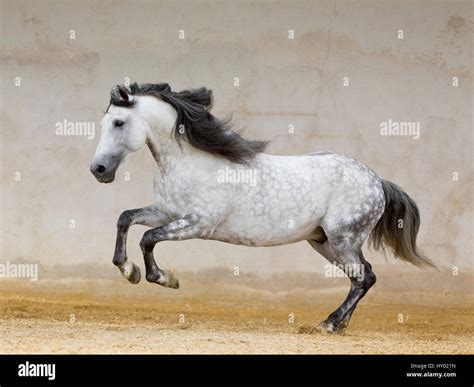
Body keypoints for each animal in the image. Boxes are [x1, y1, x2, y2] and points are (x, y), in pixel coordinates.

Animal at [89, 82, 434, 334]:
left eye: (118, 122)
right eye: (104, 121)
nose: (99, 170)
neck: (189, 162)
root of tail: (376, 180)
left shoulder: (197, 223)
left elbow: (148, 238)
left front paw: (164, 278)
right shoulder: (165, 212)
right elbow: (125, 219)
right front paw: (128, 269)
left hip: (342, 240)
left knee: (364, 277)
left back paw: (329, 323)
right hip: (324, 243)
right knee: (362, 276)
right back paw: (340, 324)